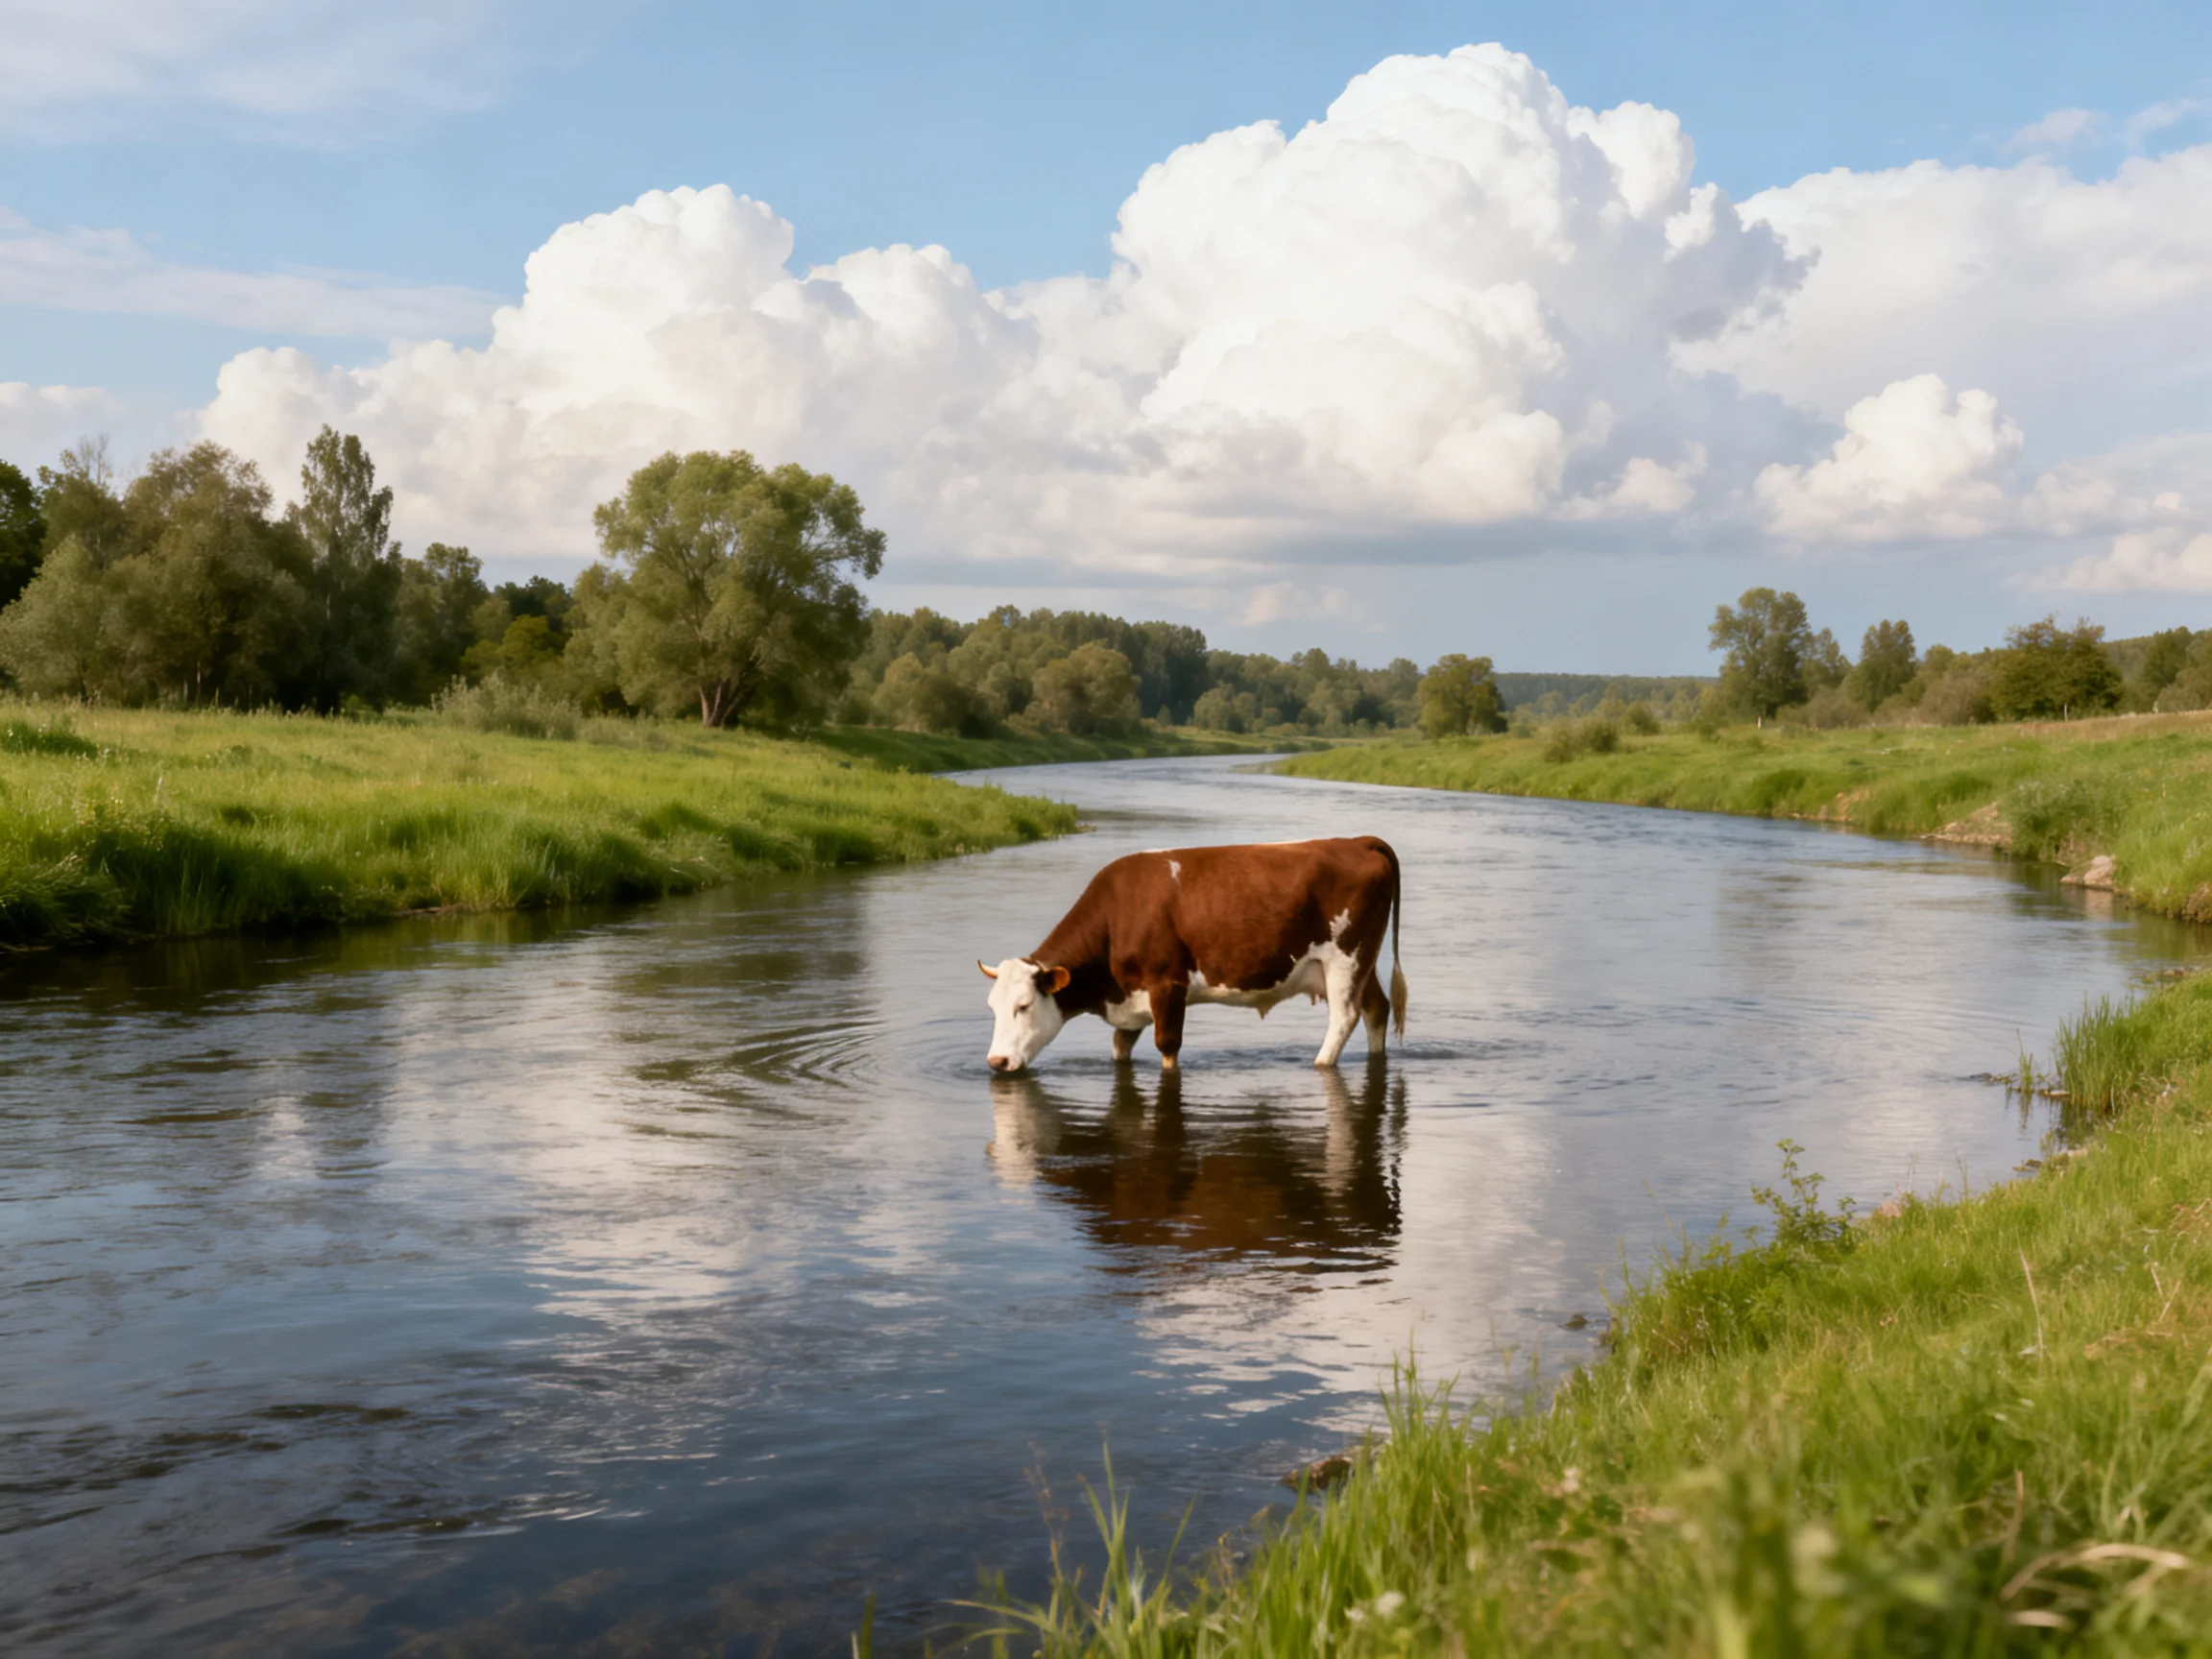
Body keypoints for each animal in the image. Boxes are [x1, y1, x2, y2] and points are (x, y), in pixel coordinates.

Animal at [980, 836, 1406, 1073]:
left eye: (1023, 1005)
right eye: (993, 1007)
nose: (996, 1062)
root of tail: (1356, 840)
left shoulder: (1167, 984)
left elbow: (1168, 1048)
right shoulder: (1130, 1002)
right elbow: (1120, 1049)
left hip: (1346, 959)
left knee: (1345, 1017)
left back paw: (1320, 1063)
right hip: (1361, 964)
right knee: (1377, 1009)